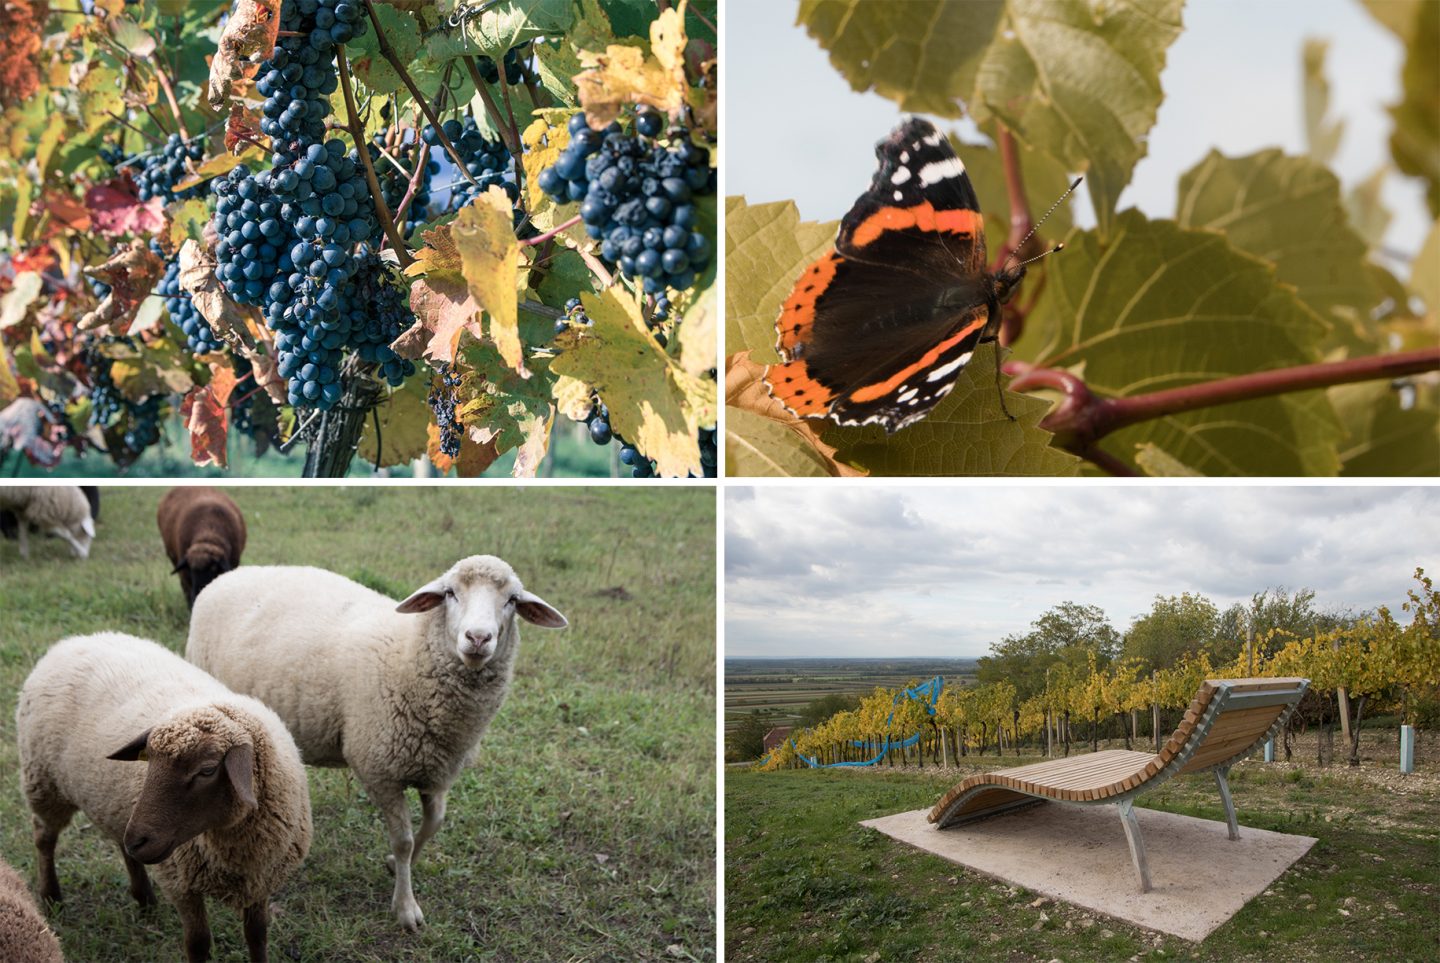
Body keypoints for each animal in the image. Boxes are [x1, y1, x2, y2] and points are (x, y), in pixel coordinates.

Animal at [16, 630, 312, 961]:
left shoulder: (261, 879)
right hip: (45, 782)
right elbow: (198, 943)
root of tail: (73, 641)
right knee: (45, 837)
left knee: (121, 846)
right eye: (150, 762)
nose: (139, 839)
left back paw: (144, 897)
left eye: (207, 770)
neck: (231, 844)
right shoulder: (181, 882)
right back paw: (51, 896)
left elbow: (257, 935)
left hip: (117, 805)